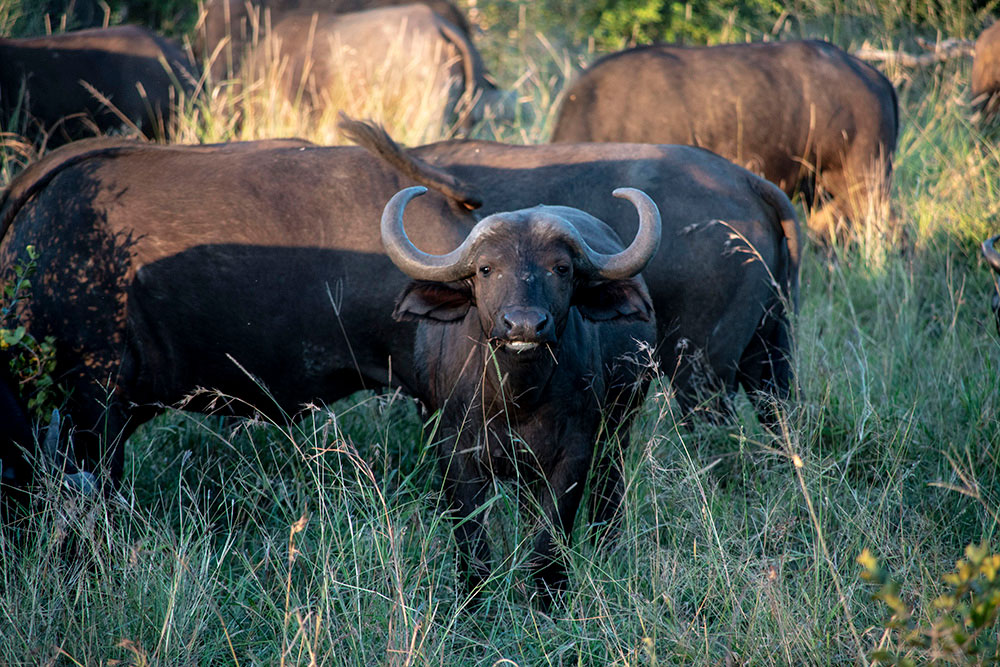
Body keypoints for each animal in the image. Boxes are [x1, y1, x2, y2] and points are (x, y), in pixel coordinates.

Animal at [382, 186, 659, 602]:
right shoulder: (455, 452)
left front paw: (548, 596)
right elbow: (471, 537)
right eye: (486, 269)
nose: (525, 325)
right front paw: (473, 600)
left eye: (561, 268)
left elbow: (551, 536)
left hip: (618, 429)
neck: (517, 398)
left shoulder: (574, 453)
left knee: (608, 491)